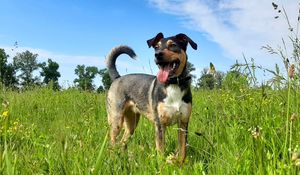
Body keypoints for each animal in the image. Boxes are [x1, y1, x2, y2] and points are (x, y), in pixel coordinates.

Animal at [105, 32, 197, 162]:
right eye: (156, 47)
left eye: (173, 45)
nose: (157, 55)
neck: (173, 83)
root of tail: (117, 77)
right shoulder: (160, 124)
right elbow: (161, 152)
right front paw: (162, 165)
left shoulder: (183, 124)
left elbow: (182, 151)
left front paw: (181, 164)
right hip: (116, 120)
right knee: (112, 143)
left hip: (131, 124)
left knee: (122, 142)